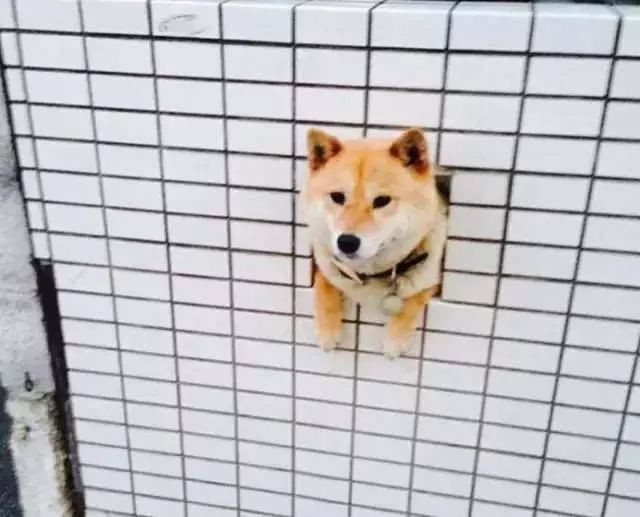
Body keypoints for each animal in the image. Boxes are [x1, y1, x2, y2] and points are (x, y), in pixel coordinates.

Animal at [301, 128, 448, 358]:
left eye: (382, 201)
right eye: (337, 197)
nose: (347, 242)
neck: (370, 275)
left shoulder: (431, 278)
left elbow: (414, 299)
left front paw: (395, 339)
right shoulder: (326, 264)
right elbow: (324, 285)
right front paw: (327, 330)